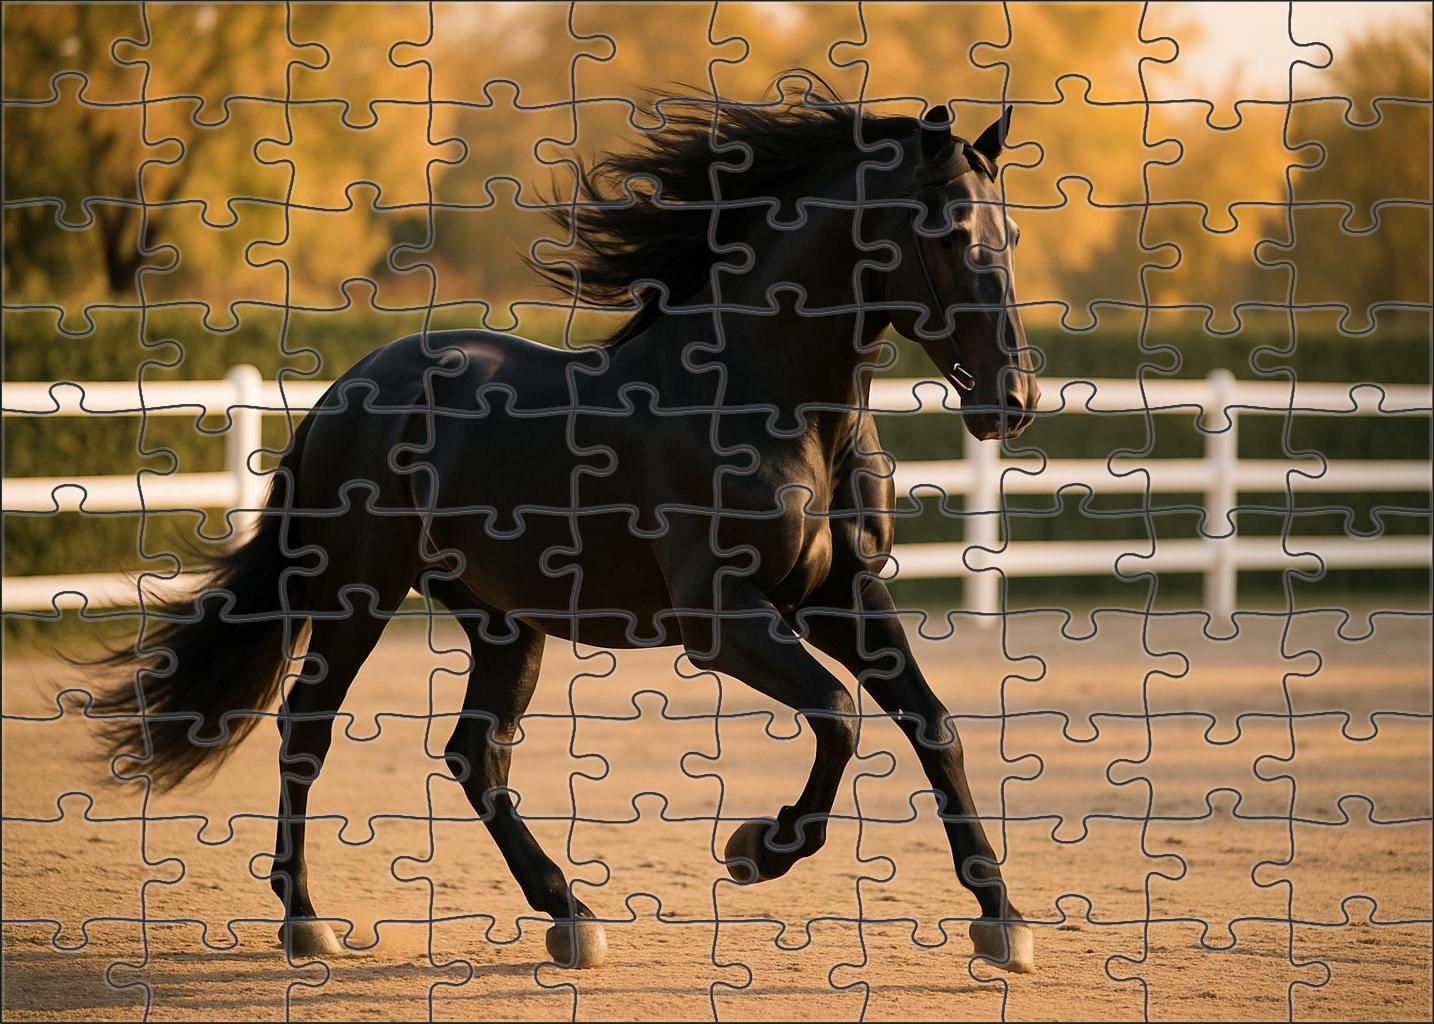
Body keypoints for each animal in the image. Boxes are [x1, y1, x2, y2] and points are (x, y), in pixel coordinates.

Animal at [97, 84, 1041, 974]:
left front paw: (1003, 922)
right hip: (356, 597)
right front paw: (755, 850)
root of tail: (345, 393)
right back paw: (307, 921)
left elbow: (935, 728)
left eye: (1012, 231)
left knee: (474, 756)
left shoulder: (841, 596)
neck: (772, 404)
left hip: (503, 623)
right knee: (308, 728)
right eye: (951, 232)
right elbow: (841, 715)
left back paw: (569, 914)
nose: (1015, 401)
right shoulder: (723, 620)